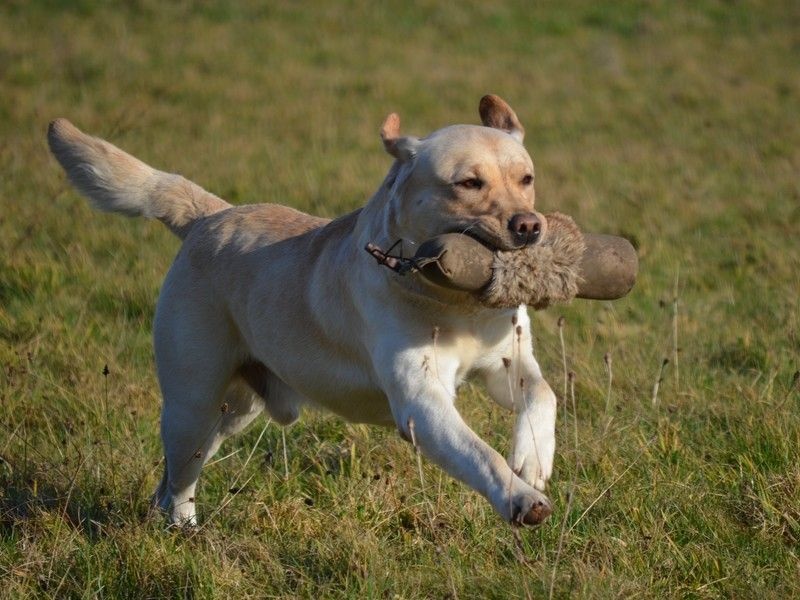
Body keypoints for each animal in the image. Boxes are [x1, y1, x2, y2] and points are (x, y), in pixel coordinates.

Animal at [48, 94, 556, 524]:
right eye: (468, 183)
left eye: (526, 179)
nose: (530, 226)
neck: (455, 302)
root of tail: (211, 216)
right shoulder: (421, 401)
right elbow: (480, 454)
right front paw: (520, 497)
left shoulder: (507, 361)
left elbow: (543, 394)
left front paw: (532, 461)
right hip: (192, 404)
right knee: (179, 481)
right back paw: (185, 529)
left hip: (234, 410)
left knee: (171, 476)